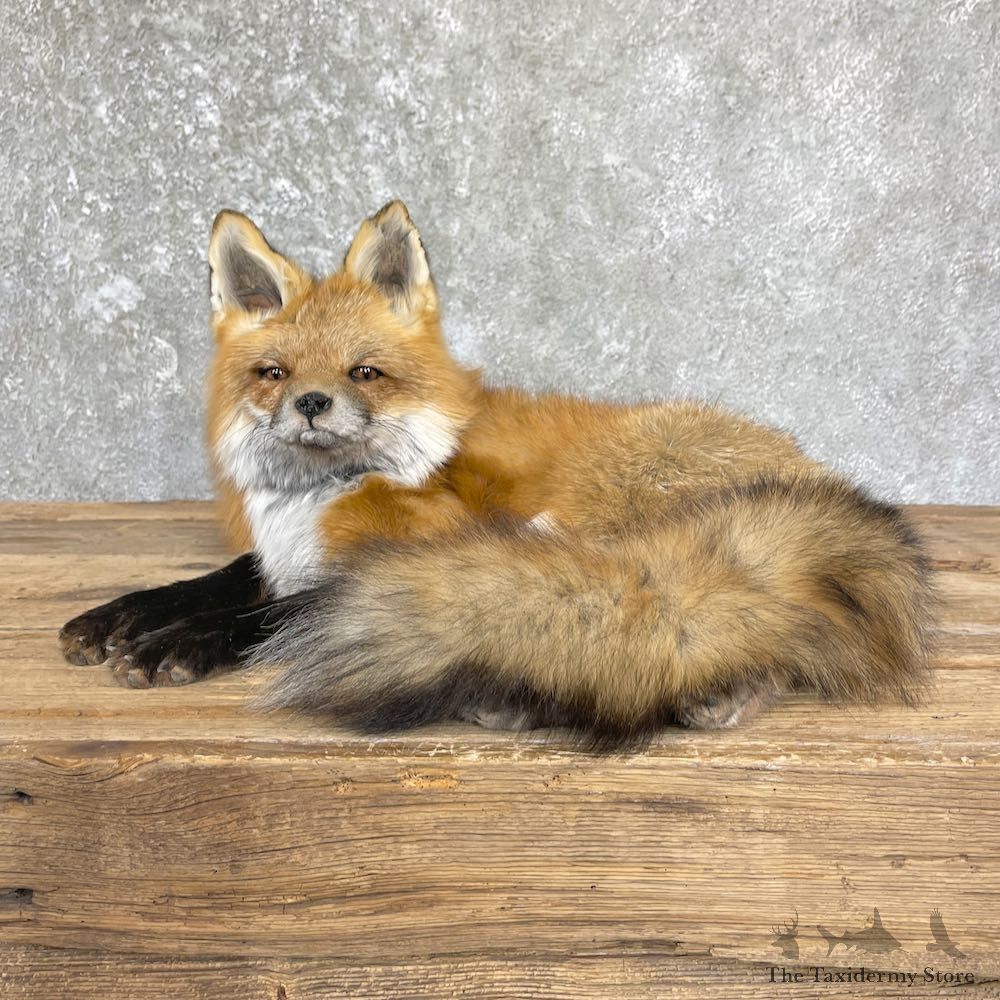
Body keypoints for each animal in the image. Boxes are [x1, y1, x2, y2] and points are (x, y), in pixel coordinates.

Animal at [59, 200, 932, 746]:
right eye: (274, 373)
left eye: (363, 373)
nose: (311, 403)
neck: (318, 499)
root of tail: (815, 480)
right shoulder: (282, 554)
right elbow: (225, 580)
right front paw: (123, 616)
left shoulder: (424, 541)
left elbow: (277, 612)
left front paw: (176, 643)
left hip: (585, 522)